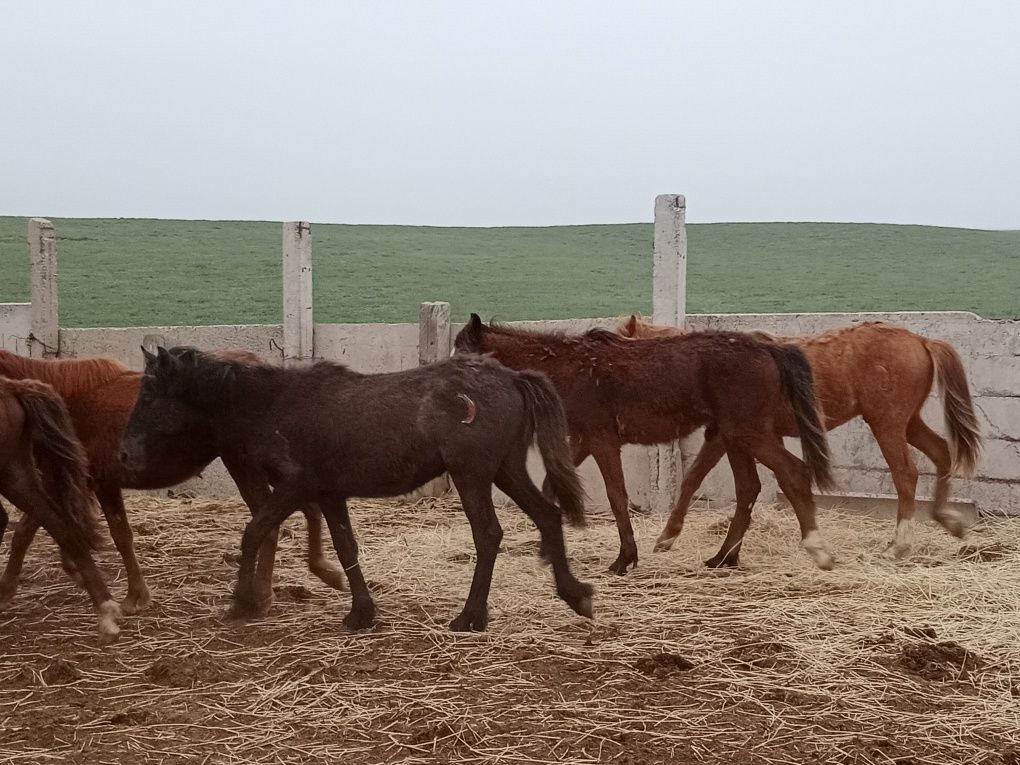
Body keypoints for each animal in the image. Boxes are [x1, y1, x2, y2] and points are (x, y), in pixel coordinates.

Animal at [120, 348, 595, 636]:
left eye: (149, 394)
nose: (124, 453)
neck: (273, 404)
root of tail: (512, 377)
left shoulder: (295, 486)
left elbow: (254, 531)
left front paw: (241, 602)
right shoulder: (330, 494)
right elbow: (345, 547)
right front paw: (361, 612)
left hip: (472, 474)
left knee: (489, 534)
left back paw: (471, 615)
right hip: (505, 470)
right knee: (547, 515)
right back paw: (576, 595)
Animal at [454, 314, 836, 571]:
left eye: (460, 355)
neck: (569, 367)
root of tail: (770, 348)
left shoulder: (602, 441)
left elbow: (616, 495)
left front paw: (625, 558)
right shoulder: (583, 440)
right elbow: (552, 485)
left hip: (748, 434)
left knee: (794, 472)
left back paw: (817, 550)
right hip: (734, 436)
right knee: (748, 489)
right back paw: (723, 557)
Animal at [616, 314, 983, 558]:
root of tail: (920, 340)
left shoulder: (724, 436)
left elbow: (695, 478)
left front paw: (668, 536)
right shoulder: (748, 437)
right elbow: (778, 482)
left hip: (887, 423)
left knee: (906, 474)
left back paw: (900, 544)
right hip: (908, 422)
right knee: (941, 452)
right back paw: (948, 520)